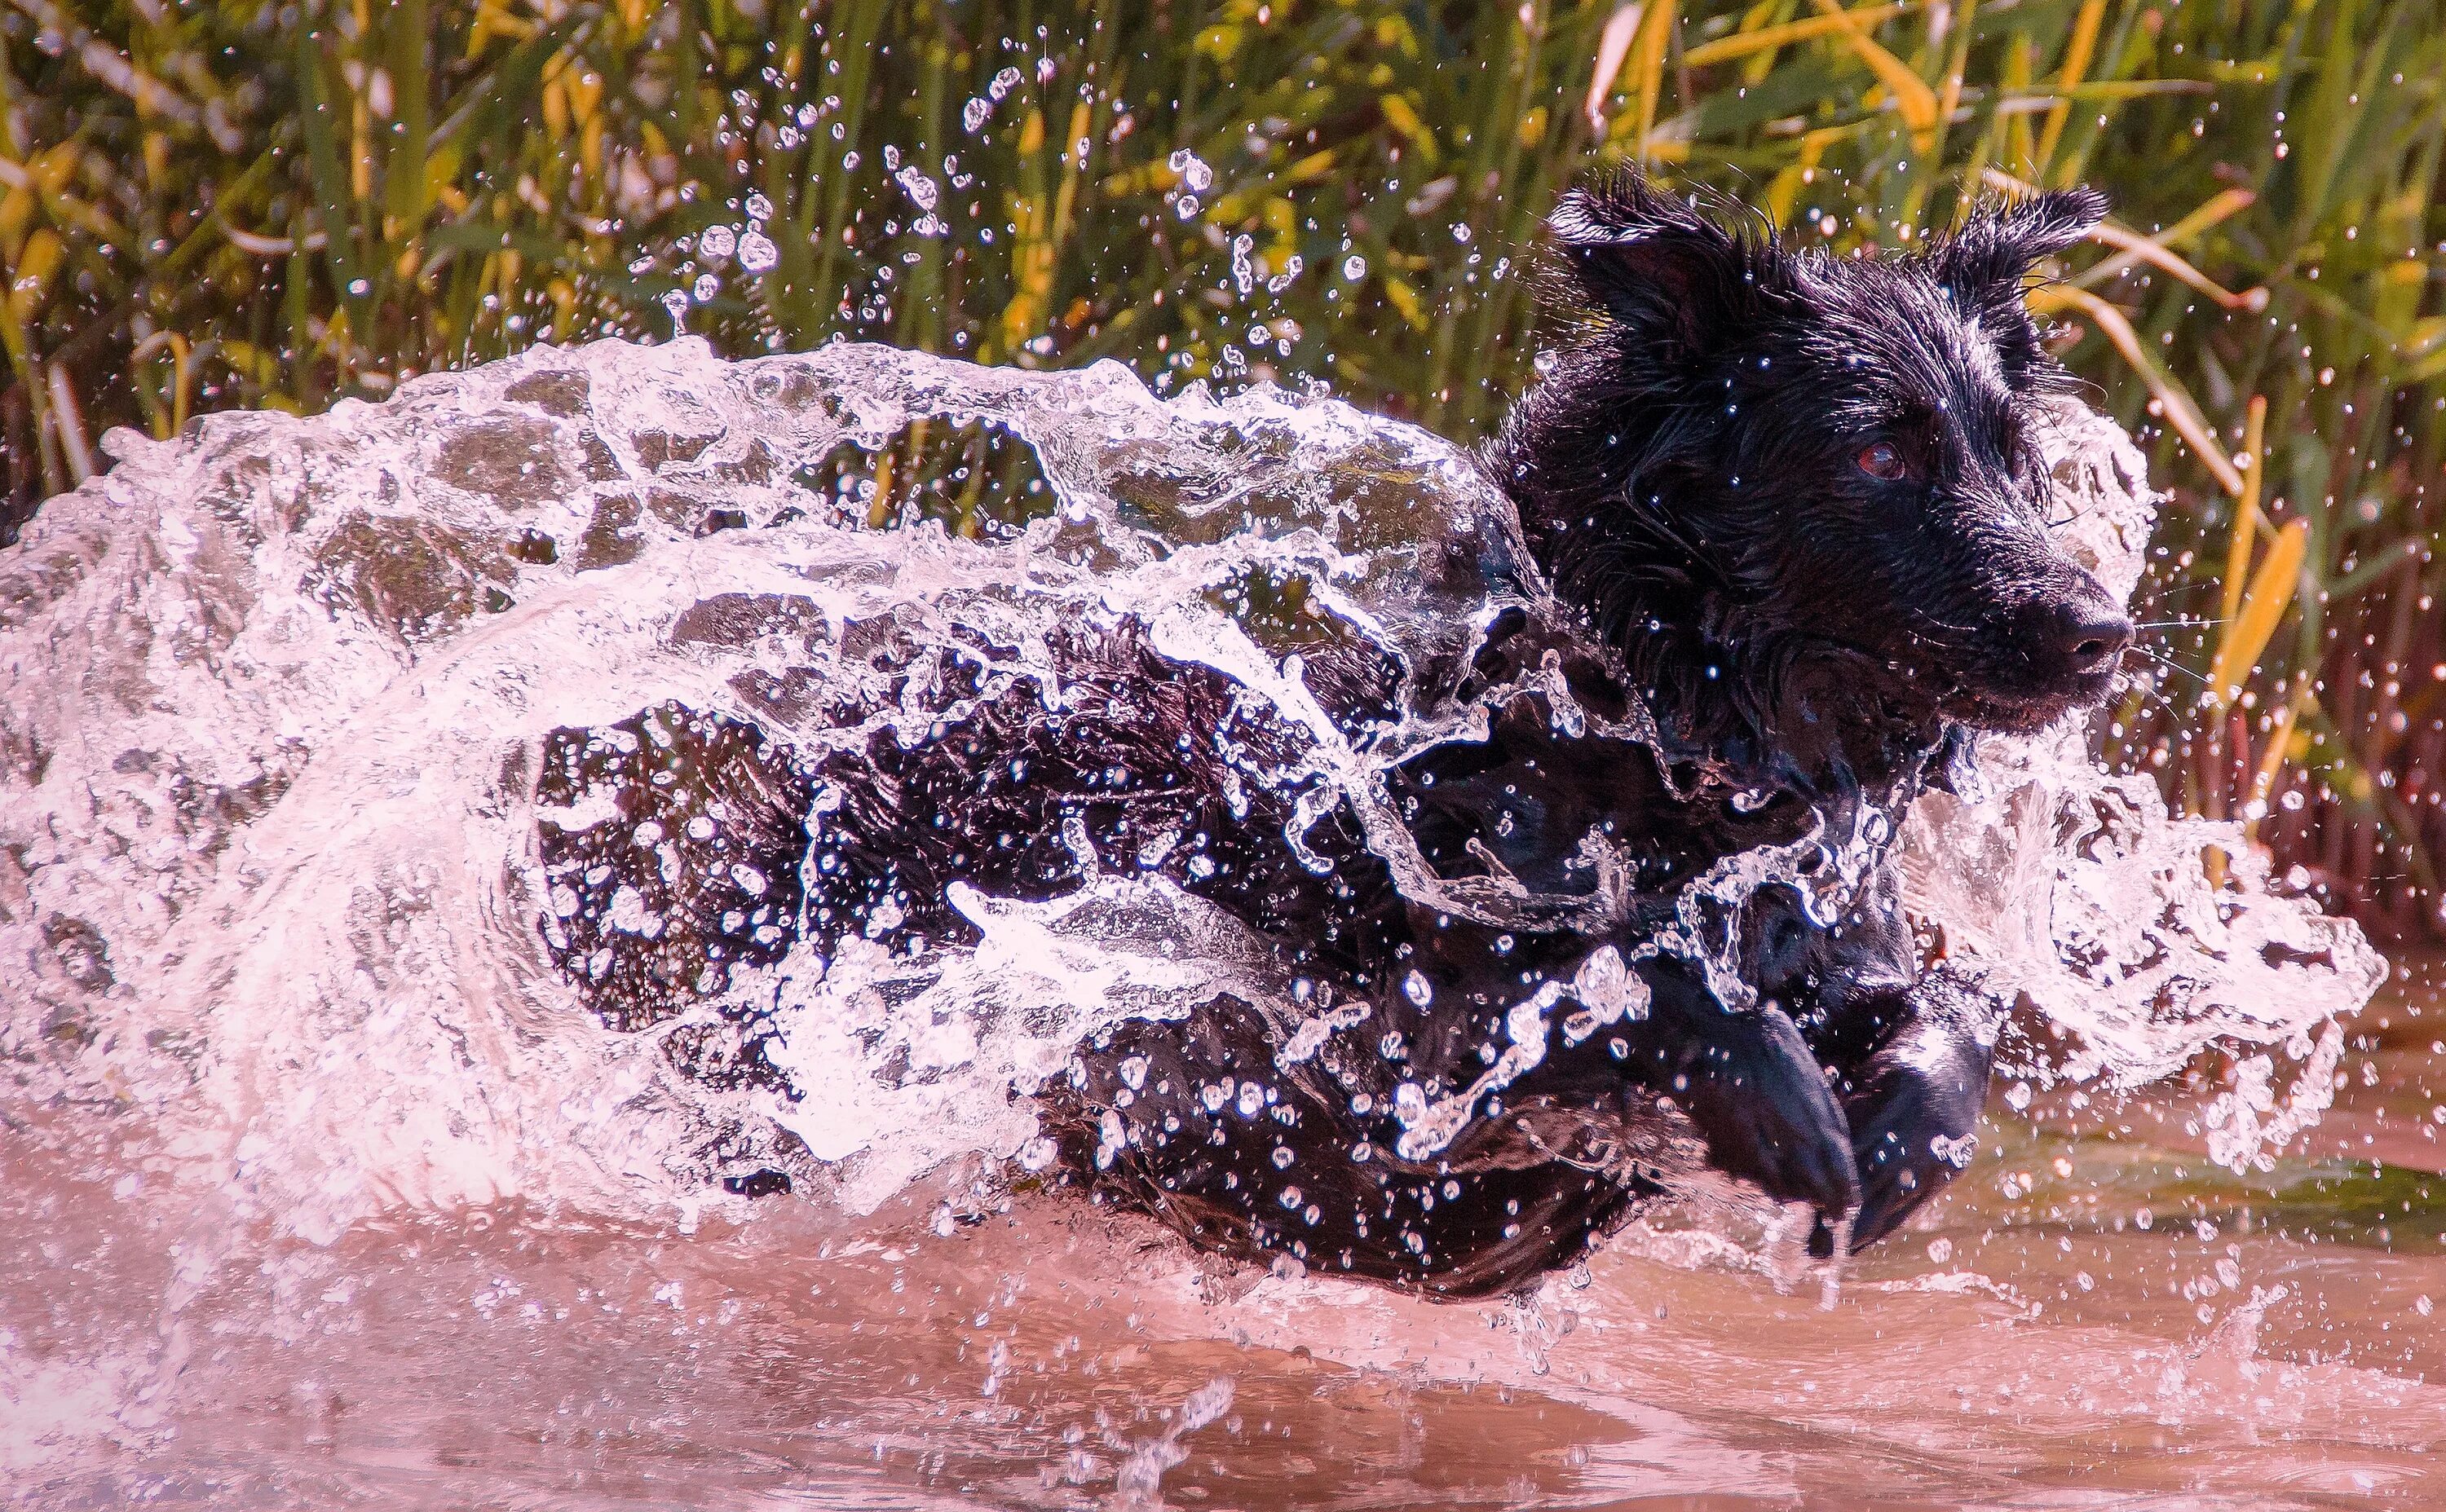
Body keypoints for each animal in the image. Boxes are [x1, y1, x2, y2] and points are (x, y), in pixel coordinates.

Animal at [536, 171, 2123, 1291]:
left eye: (2016, 457)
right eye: (1878, 452)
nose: (2102, 630)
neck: (1645, 751)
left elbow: (1951, 1023)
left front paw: (1902, 1132)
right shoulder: (1387, 1050)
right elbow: (1627, 987)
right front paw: (1785, 1099)